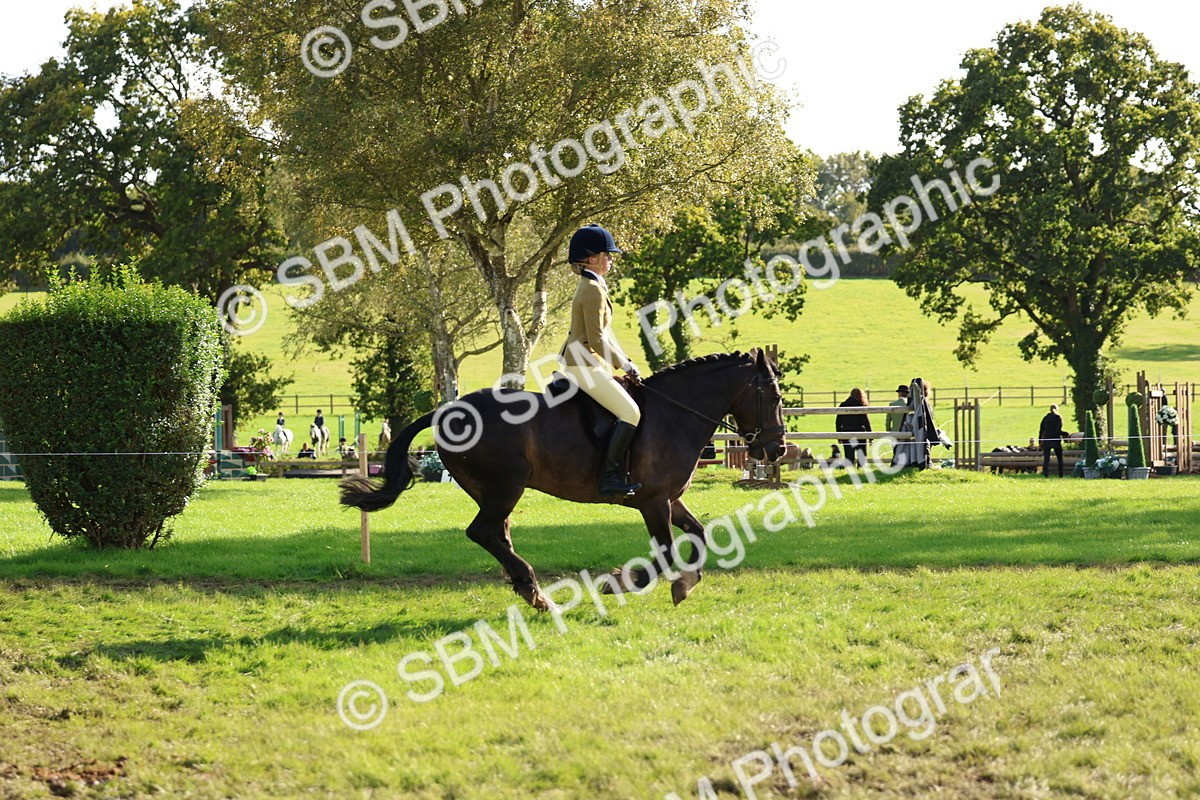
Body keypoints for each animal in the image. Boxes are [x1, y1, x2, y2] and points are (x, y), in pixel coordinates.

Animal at [340, 349, 785, 609]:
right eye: (776, 397)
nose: (777, 449)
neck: (675, 413)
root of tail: (447, 411)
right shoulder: (653, 501)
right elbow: (665, 552)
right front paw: (625, 582)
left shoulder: (670, 499)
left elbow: (698, 534)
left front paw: (686, 582)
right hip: (506, 486)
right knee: (482, 532)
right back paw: (532, 587)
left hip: (493, 491)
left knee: (497, 535)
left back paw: (529, 590)